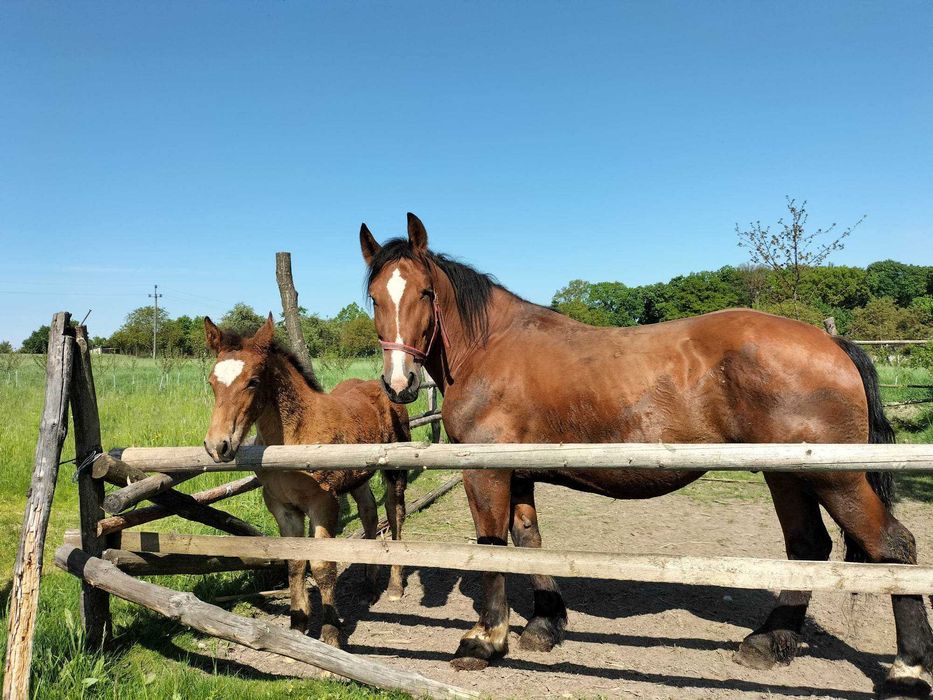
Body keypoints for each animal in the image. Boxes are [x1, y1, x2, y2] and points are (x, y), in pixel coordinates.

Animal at [202, 314, 410, 648]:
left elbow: (323, 567)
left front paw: (330, 633)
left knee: (395, 514)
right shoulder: (282, 507)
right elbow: (295, 562)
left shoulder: (323, 504)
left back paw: (393, 587)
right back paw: (369, 583)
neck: (294, 438)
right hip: (359, 477)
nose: (218, 446)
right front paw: (297, 625)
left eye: (253, 381)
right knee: (369, 512)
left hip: (395, 470)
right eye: (212, 382)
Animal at [362, 213, 932, 700]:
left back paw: (908, 670)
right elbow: (528, 542)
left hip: (834, 477)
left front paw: (483, 641)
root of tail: (832, 344)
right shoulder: (518, 474)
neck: (490, 347)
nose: (399, 383)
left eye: (425, 292)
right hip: (787, 476)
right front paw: (544, 625)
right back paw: (768, 642)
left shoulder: (485, 473)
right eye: (372, 297)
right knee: (809, 547)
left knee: (893, 548)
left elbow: (491, 549)